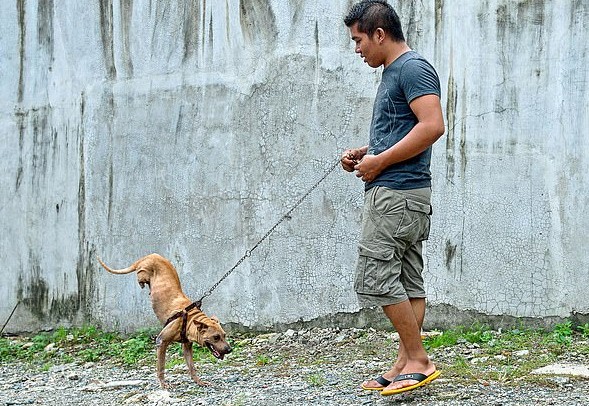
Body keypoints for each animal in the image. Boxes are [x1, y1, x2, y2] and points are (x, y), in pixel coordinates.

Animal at [97, 252, 231, 388]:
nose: (229, 350)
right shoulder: (161, 342)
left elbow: (191, 366)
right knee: (140, 276)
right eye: (216, 337)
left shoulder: (187, 347)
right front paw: (163, 383)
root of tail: (150, 256)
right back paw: (142, 283)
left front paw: (198, 381)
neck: (190, 319)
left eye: (224, 335)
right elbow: (161, 366)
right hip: (144, 271)